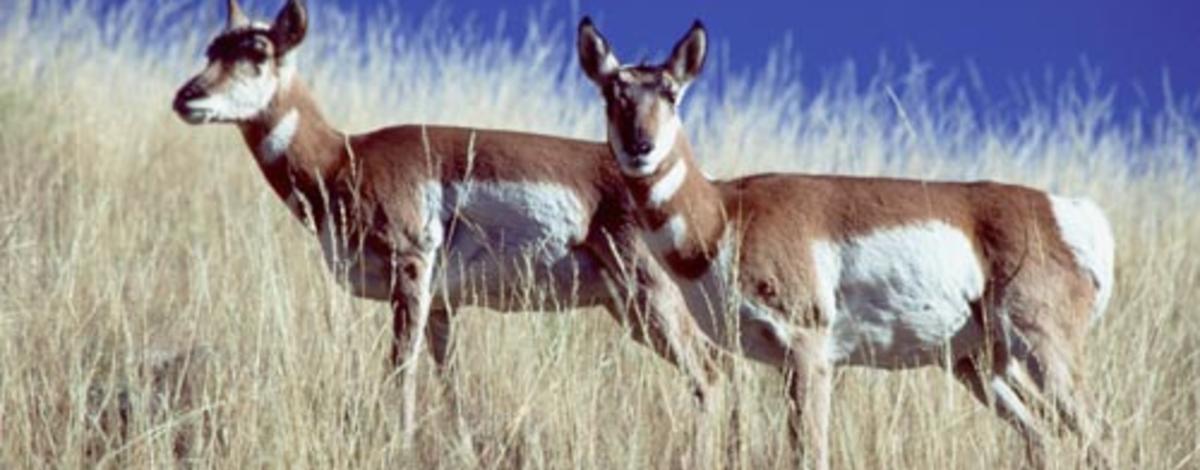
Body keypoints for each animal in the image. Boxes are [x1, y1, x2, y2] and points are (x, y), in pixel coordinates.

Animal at [168, 0, 710, 438]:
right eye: (212, 49)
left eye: (258, 53)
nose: (186, 98)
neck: (343, 157)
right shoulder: (442, 304)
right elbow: (448, 379)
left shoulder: (411, 272)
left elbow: (400, 366)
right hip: (629, 307)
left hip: (652, 297)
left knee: (709, 375)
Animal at [578, 17, 1113, 465]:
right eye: (612, 94)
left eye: (670, 93)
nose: (641, 147)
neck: (725, 214)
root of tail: (1063, 211)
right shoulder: (782, 364)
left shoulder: (809, 352)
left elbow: (810, 453)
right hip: (980, 365)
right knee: (1042, 436)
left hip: (1043, 348)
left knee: (1098, 433)